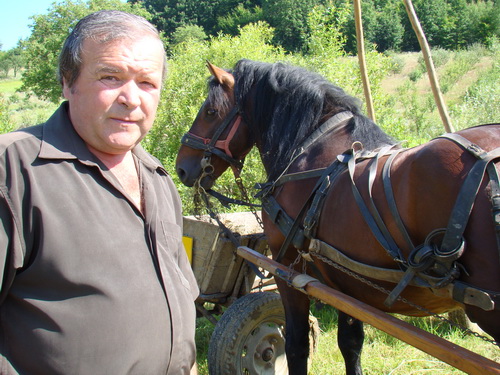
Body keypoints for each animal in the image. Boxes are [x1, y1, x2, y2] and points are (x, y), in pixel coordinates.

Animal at [176, 60, 500, 374]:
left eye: (211, 111)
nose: (182, 167)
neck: (311, 151)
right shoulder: (344, 283)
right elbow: (351, 343)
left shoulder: (288, 271)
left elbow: (296, 345)